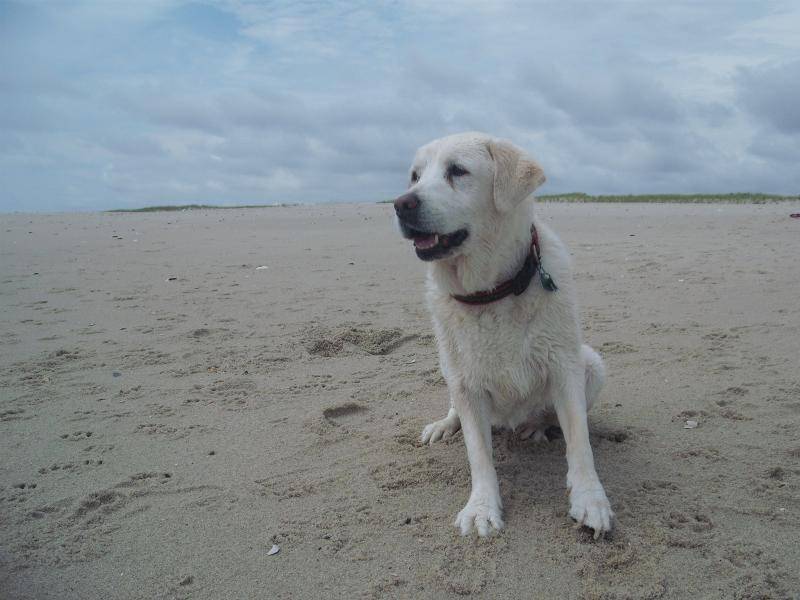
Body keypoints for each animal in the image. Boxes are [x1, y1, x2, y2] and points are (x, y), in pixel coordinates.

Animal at [394, 132, 613, 538]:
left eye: (457, 171)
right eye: (415, 176)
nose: (402, 204)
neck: (492, 291)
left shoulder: (564, 365)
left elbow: (580, 442)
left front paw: (591, 500)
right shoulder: (465, 382)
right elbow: (478, 455)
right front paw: (481, 507)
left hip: (592, 362)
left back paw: (536, 426)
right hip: (450, 371)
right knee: (456, 411)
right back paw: (444, 425)